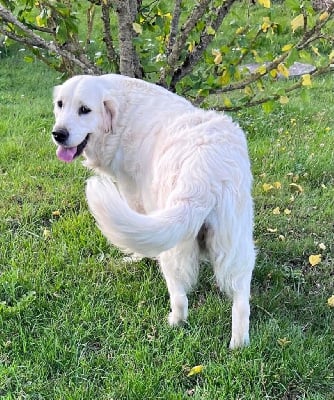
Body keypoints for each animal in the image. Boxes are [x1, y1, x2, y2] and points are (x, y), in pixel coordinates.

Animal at [52, 73, 256, 348]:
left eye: (85, 110)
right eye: (60, 105)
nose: (58, 134)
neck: (122, 112)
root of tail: (203, 171)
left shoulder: (132, 193)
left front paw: (136, 257)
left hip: (173, 248)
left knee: (180, 297)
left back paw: (174, 322)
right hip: (235, 244)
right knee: (241, 301)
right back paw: (238, 344)